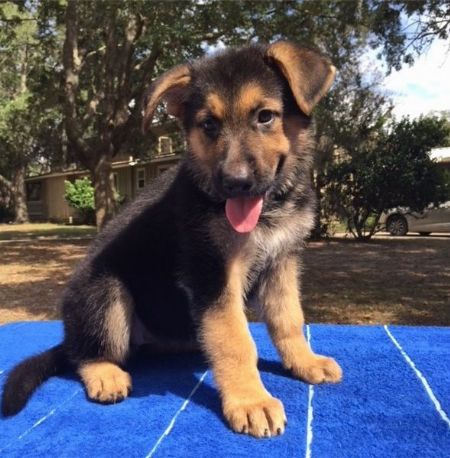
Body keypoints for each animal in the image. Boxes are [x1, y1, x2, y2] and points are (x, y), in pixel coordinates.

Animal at [1, 41, 342, 438]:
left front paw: (304, 362)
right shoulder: (211, 273)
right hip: (105, 293)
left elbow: (288, 320)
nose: (235, 183)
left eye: (265, 117)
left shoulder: (281, 263)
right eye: (209, 125)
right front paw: (250, 400)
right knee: (81, 354)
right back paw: (104, 373)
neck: (270, 207)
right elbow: (235, 340)